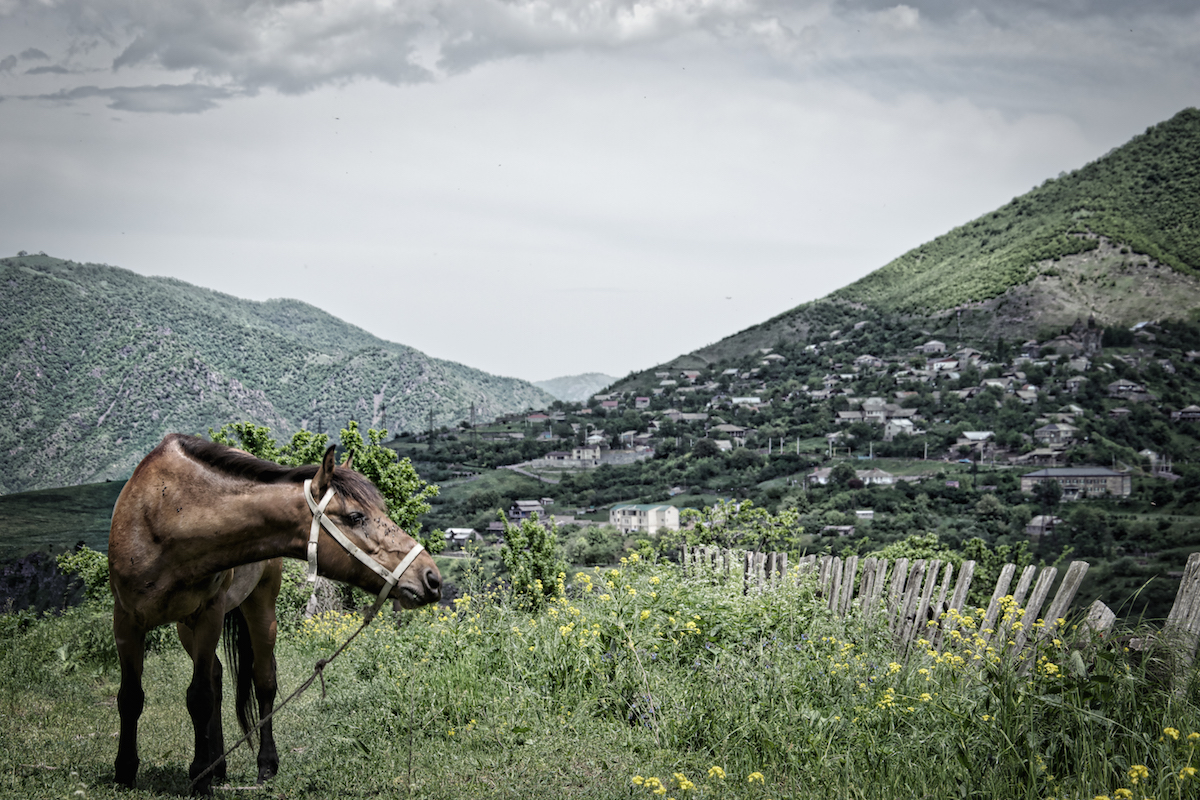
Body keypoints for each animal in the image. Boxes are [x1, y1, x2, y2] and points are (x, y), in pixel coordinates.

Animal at [108, 433, 442, 793]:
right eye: (355, 517)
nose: (431, 577)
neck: (166, 515)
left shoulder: (209, 615)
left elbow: (199, 696)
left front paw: (199, 777)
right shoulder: (126, 620)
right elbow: (131, 696)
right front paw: (125, 771)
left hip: (259, 607)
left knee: (262, 681)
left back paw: (263, 764)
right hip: (187, 626)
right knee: (217, 675)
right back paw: (218, 764)